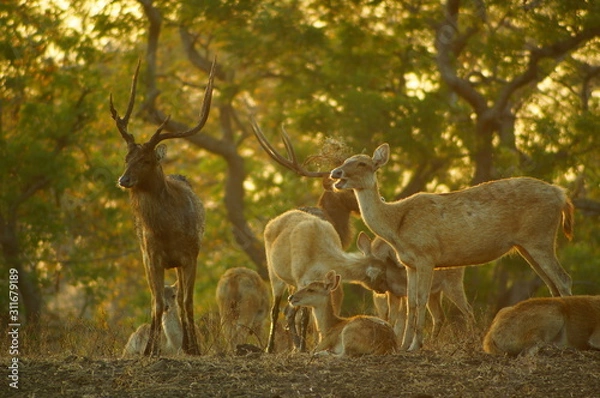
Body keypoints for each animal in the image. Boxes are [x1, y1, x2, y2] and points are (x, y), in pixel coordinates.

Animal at [110, 60, 216, 356]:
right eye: (126, 157)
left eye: (146, 160)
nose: (124, 180)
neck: (167, 231)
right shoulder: (151, 255)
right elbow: (156, 303)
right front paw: (150, 350)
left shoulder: (191, 255)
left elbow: (186, 302)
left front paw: (194, 348)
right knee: (154, 299)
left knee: (180, 301)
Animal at [264, 210, 390, 352]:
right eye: (383, 275)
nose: (384, 289)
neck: (321, 260)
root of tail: (271, 223)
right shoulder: (301, 279)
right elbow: (305, 318)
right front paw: (303, 348)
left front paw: (307, 346)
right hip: (273, 273)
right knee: (274, 310)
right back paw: (270, 348)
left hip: (292, 285)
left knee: (288, 312)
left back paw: (295, 345)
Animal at [330, 144, 576, 352]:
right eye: (345, 160)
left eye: (362, 163)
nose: (336, 173)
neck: (397, 226)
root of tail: (562, 195)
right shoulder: (410, 263)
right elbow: (411, 304)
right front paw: (403, 346)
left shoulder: (426, 255)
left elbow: (420, 299)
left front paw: (415, 346)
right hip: (527, 245)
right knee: (551, 284)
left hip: (540, 237)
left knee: (564, 279)